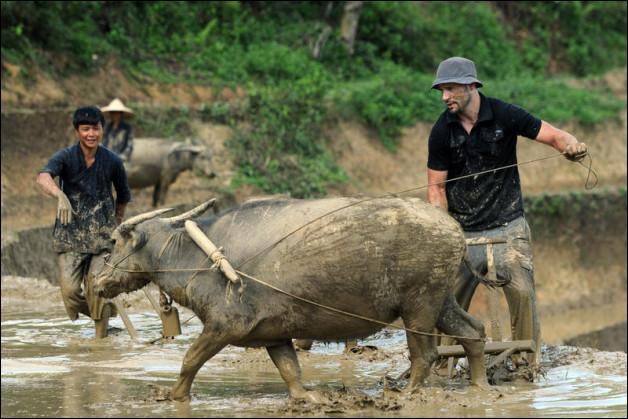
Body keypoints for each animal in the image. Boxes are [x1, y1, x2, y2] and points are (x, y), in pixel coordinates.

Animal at [95, 199, 488, 402]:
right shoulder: (275, 335)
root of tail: (454, 228)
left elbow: (190, 360)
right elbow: (290, 371)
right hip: (442, 301)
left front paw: (173, 395)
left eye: (114, 242)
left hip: (419, 306)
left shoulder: (223, 327)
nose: (98, 282)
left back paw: (407, 393)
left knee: (426, 353)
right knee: (473, 332)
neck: (196, 256)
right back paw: (479, 385)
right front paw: (307, 398)